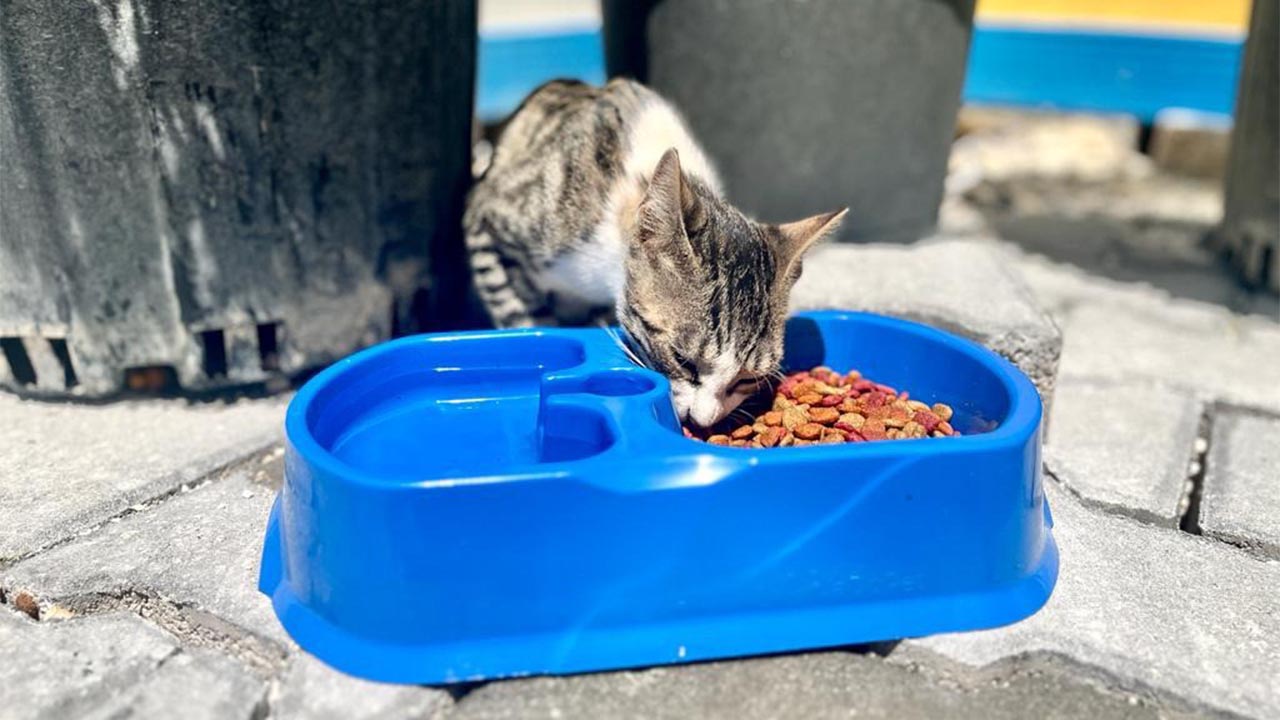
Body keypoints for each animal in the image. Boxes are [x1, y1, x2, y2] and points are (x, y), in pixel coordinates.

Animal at [465, 78, 844, 425]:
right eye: (682, 359)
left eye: (747, 379)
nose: (702, 421)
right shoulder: (484, 218)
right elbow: (515, 310)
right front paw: (531, 324)